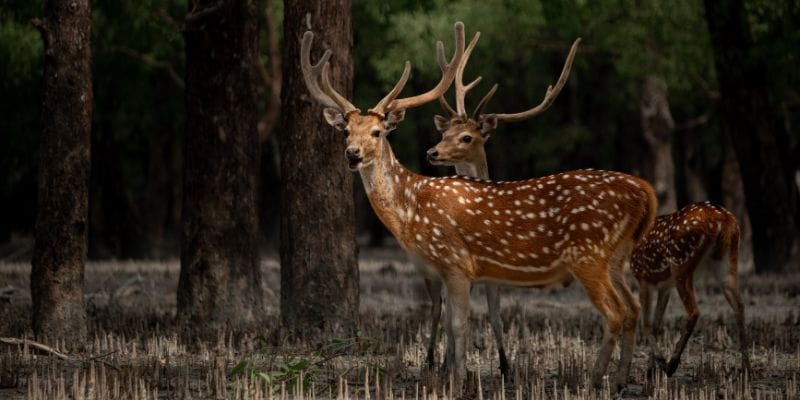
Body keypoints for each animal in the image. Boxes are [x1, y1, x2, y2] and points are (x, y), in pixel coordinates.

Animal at [300, 22, 657, 390]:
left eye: (376, 131)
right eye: (345, 131)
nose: (352, 153)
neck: (412, 209)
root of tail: (645, 191)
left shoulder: (455, 261)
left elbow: (460, 325)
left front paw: (459, 380)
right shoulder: (444, 270)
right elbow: (450, 323)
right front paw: (452, 375)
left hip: (589, 254)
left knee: (615, 312)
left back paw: (595, 379)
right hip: (615, 257)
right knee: (632, 307)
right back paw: (622, 379)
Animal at [631, 201, 750, 376]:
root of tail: (724, 218)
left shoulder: (644, 278)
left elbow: (646, 325)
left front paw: (659, 362)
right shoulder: (664, 286)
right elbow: (656, 324)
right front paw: (651, 370)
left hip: (681, 263)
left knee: (694, 311)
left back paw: (672, 364)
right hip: (728, 260)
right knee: (739, 306)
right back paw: (746, 367)